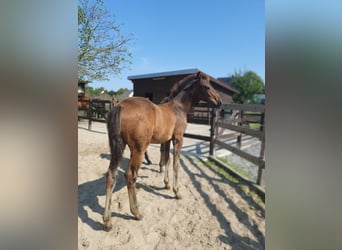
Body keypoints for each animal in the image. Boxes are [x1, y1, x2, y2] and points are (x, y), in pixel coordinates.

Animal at [103, 71, 223, 231]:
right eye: (206, 86)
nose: (219, 102)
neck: (178, 108)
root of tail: (121, 105)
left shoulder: (166, 139)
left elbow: (166, 159)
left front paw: (166, 184)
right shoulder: (178, 139)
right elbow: (176, 164)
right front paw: (176, 192)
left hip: (118, 146)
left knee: (111, 174)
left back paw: (107, 221)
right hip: (139, 149)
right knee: (130, 175)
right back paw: (136, 212)